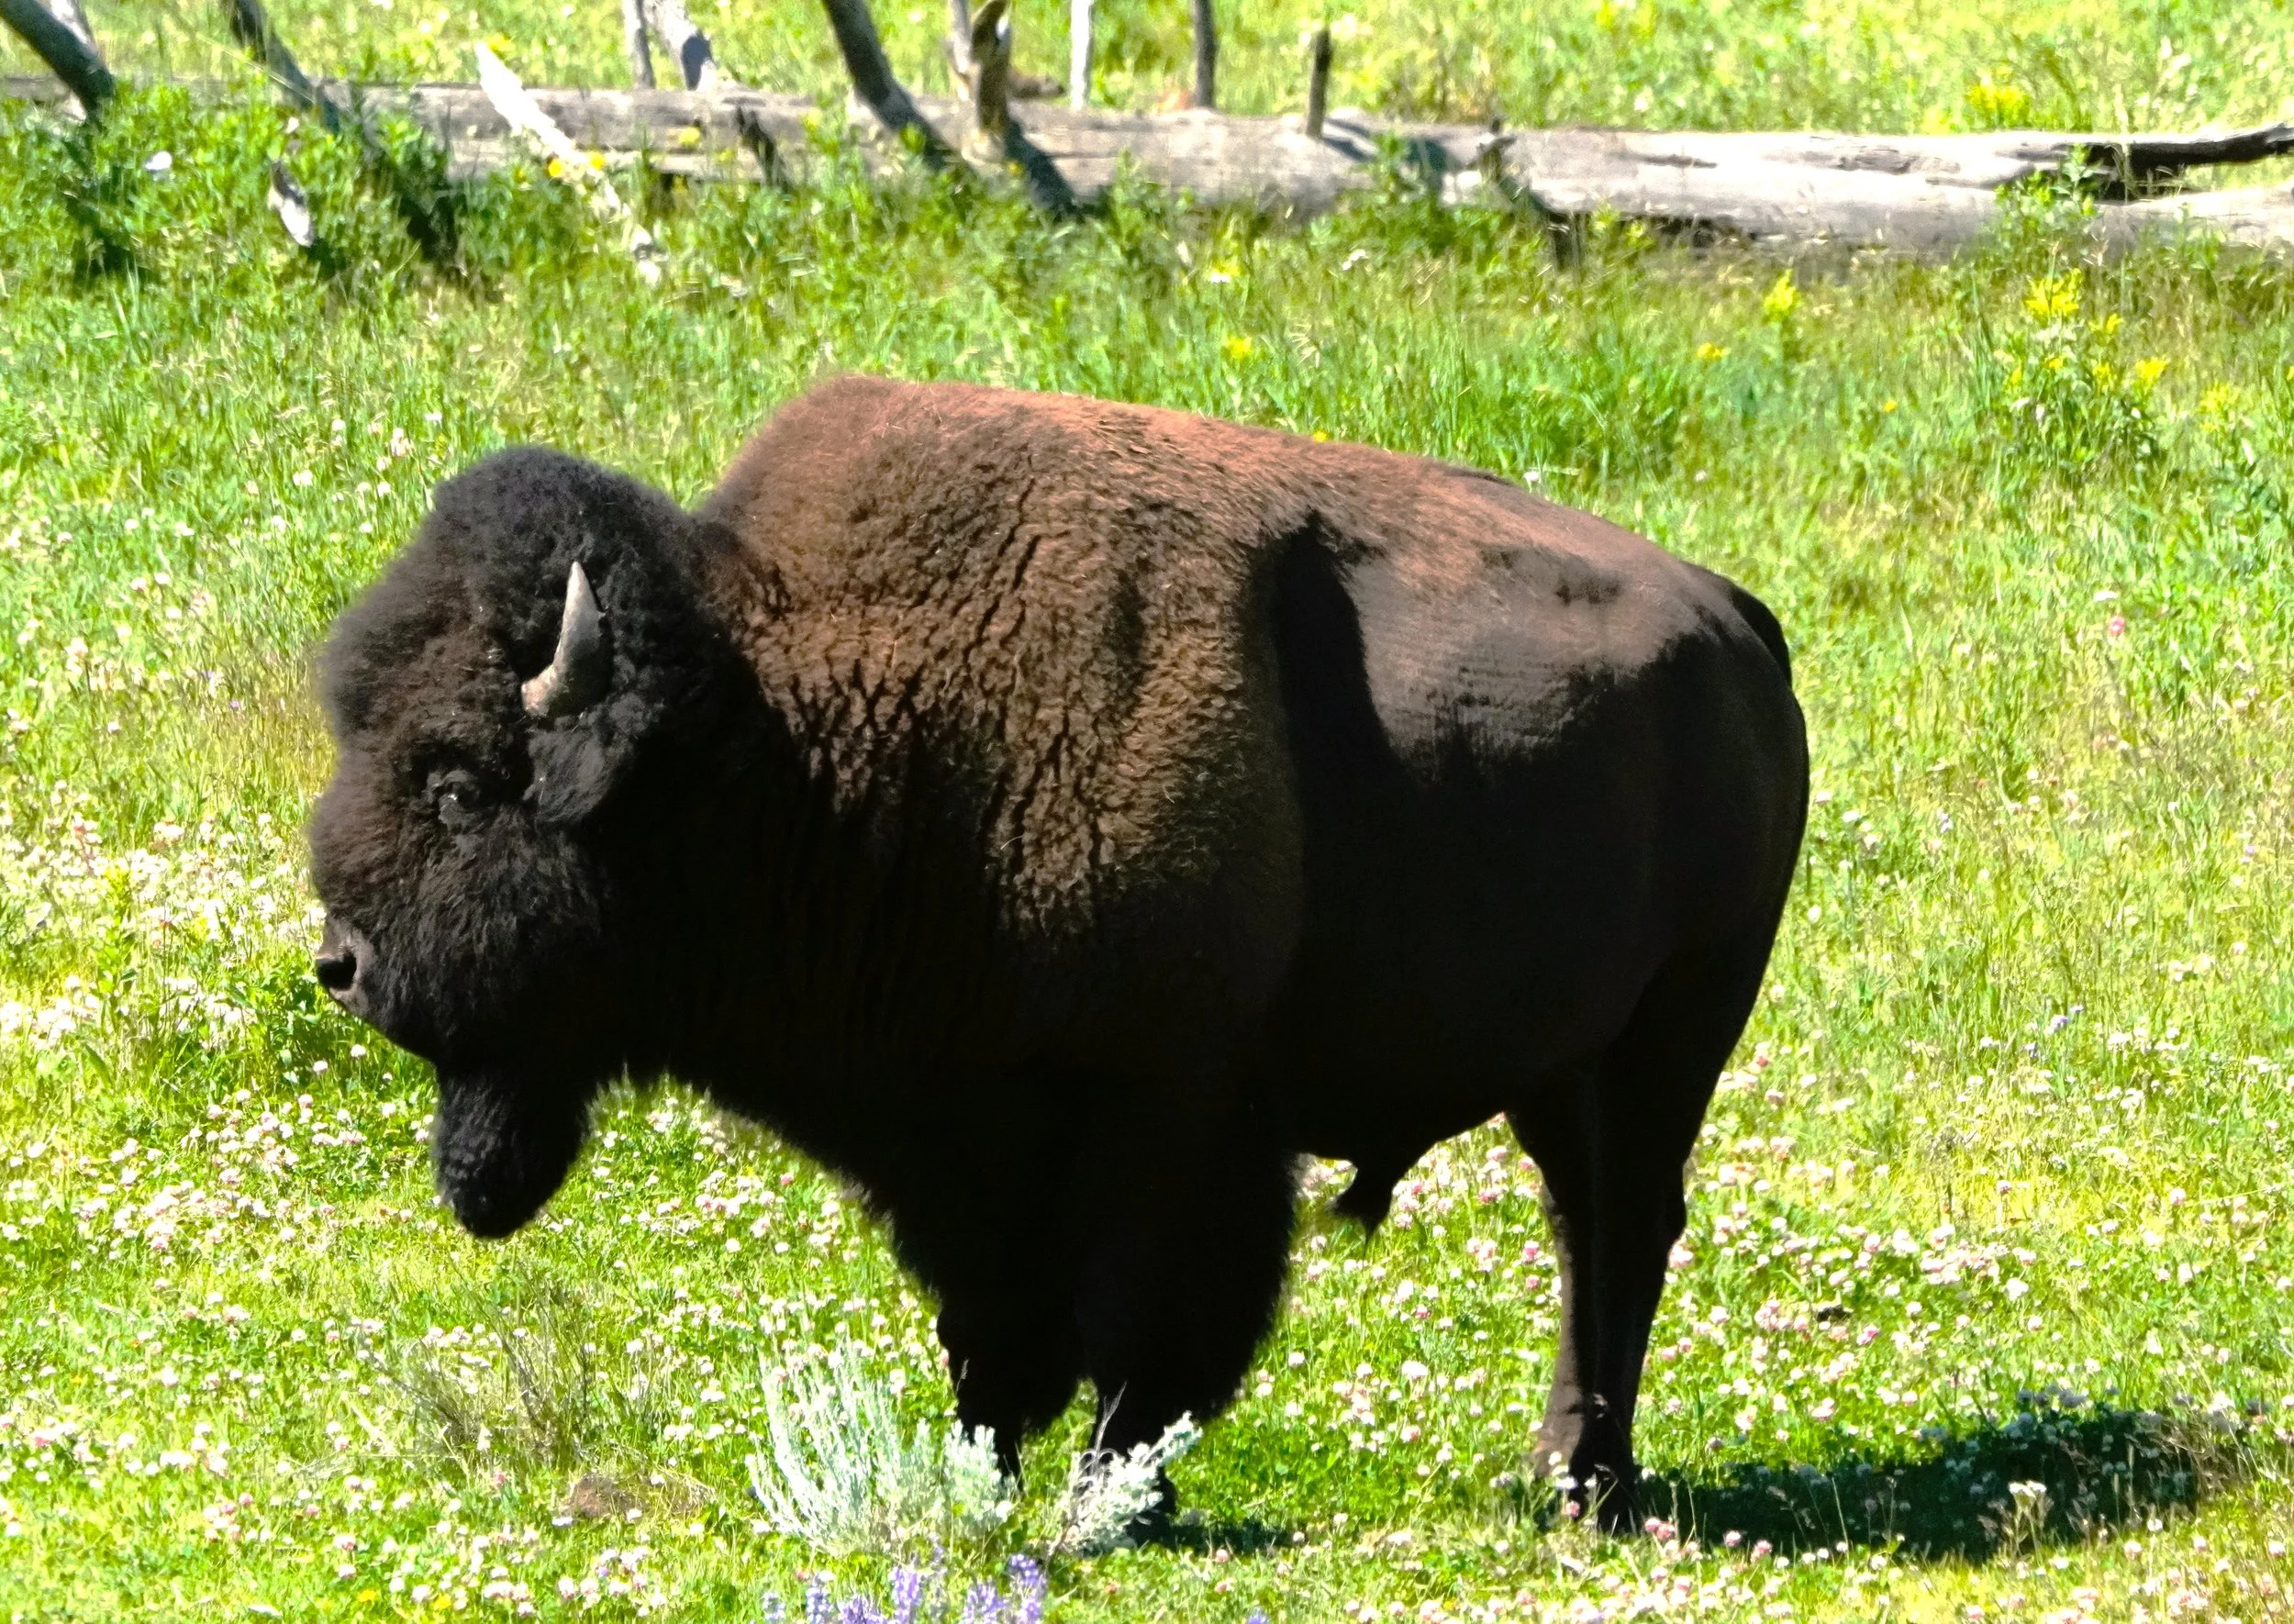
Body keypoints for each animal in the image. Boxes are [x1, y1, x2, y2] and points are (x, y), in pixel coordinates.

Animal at [310, 376, 1807, 1526]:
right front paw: (985, 1472)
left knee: (1626, 1229)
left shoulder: (1172, 1117)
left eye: (459, 787)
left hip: (1671, 1038)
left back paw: (1591, 1487)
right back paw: (1565, 1474)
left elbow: (1144, 1325)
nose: (342, 965)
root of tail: (1741, 625)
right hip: (1565, 1072)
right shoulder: (961, 1146)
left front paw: (1111, 1498)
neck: (805, 725)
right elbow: (994, 1333)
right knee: (1586, 1229)